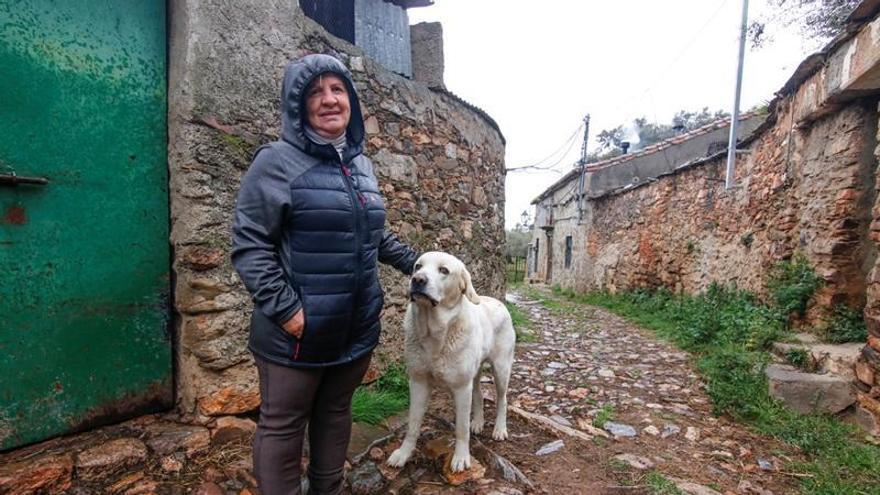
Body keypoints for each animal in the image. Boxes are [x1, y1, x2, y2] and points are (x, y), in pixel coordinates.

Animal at [384, 254, 516, 474]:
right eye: (417, 266)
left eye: (444, 270)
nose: (417, 280)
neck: (434, 334)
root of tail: (498, 301)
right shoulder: (418, 382)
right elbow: (413, 424)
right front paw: (404, 453)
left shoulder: (461, 388)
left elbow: (461, 429)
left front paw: (461, 458)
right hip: (475, 372)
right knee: (479, 394)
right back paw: (478, 422)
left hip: (501, 370)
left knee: (502, 399)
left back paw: (499, 429)